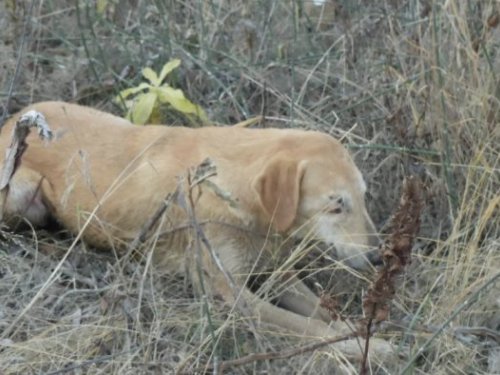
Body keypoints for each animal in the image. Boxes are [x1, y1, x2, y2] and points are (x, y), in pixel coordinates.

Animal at [0, 102, 394, 362]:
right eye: (335, 205)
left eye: (363, 196)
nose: (379, 257)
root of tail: (12, 120)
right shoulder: (234, 297)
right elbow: (309, 327)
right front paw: (369, 348)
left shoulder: (274, 270)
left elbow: (322, 313)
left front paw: (362, 329)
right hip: (22, 198)